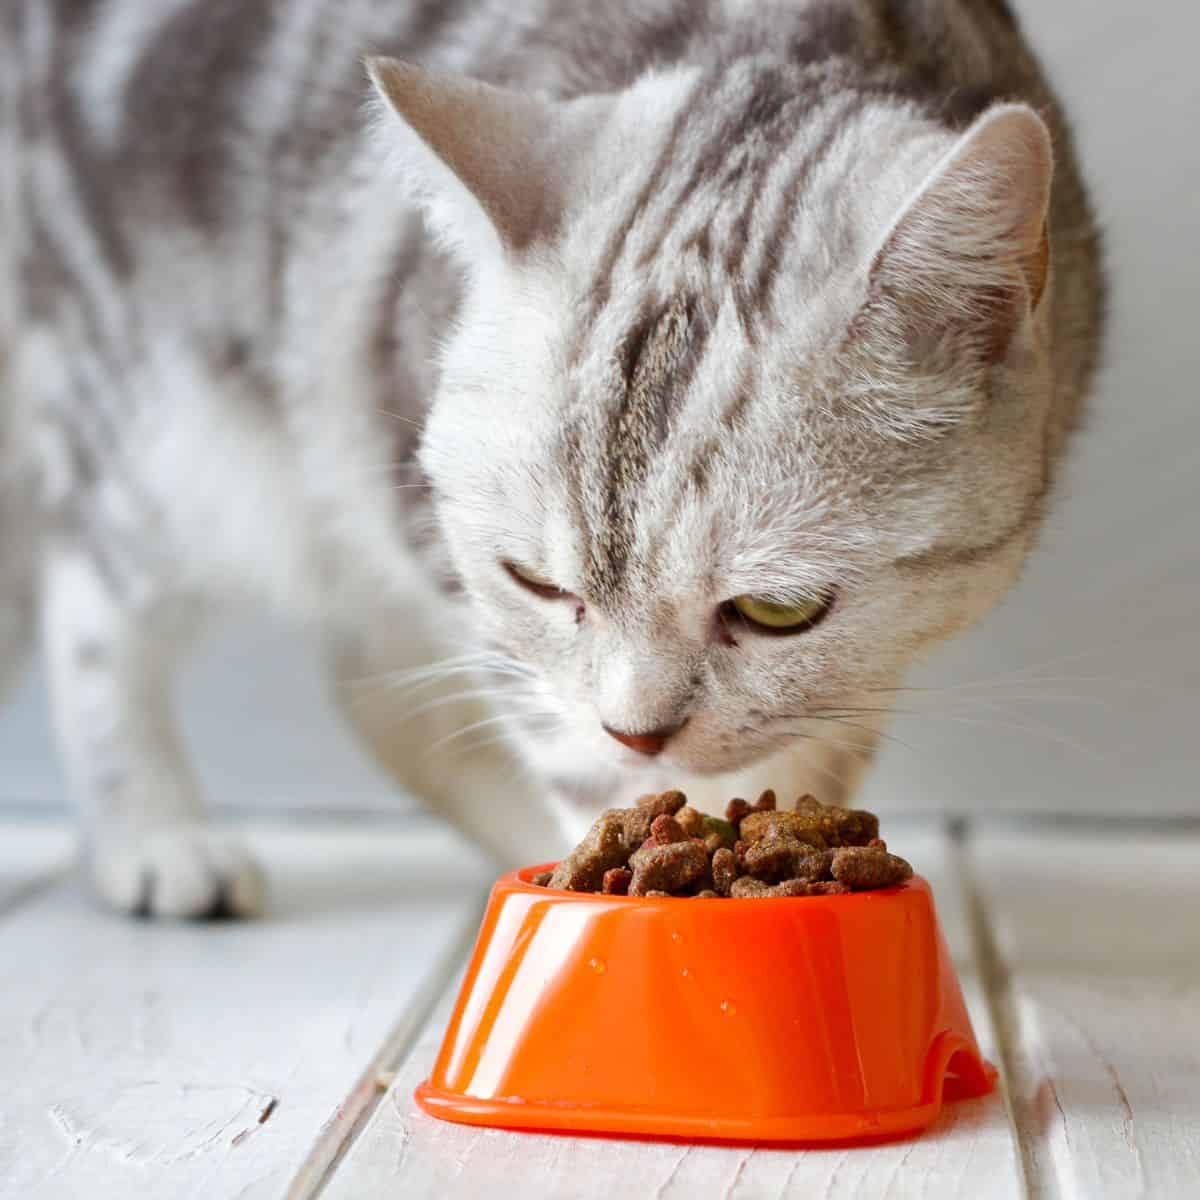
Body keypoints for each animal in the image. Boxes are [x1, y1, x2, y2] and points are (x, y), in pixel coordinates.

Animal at [0, 2, 1099, 916]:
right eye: (535, 581)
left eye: (778, 611)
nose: (638, 731)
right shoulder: (451, 559)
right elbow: (582, 763)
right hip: (161, 438)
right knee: (94, 610)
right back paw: (158, 840)